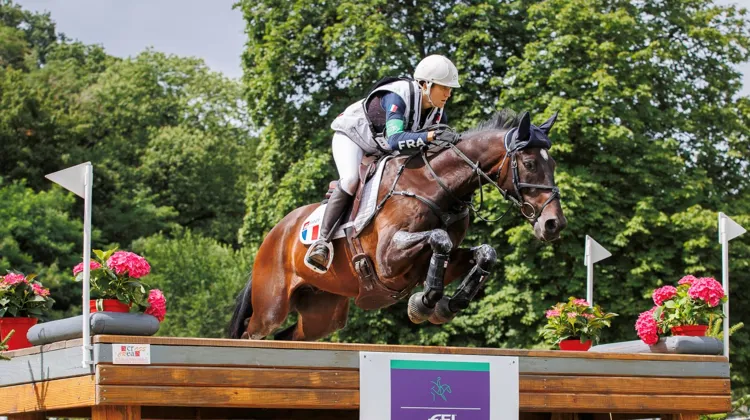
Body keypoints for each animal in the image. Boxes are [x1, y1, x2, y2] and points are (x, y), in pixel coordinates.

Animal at [228, 109, 567, 341]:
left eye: (553, 163)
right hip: (271, 306)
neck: (434, 183)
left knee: (287, 336)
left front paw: (447, 305)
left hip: (321, 313)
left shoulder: (435, 260)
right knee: (252, 333)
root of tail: (274, 235)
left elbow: (484, 253)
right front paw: (425, 303)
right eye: (530, 164)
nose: (554, 224)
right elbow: (439, 238)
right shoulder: (386, 261)